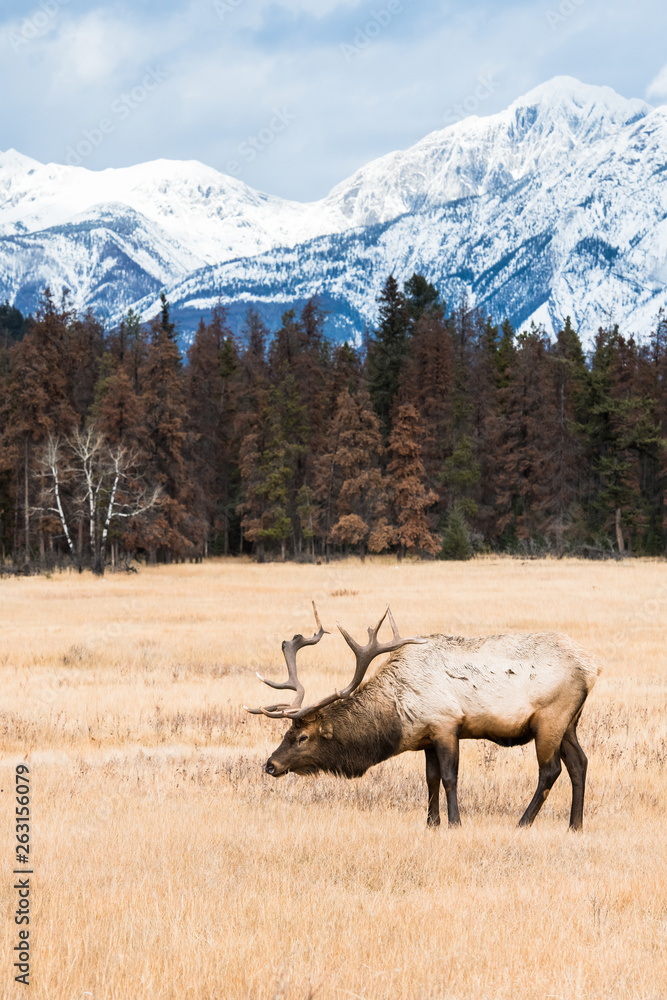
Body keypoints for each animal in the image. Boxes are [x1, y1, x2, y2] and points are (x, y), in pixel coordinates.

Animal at [245, 604, 600, 830]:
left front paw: (455, 823)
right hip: (570, 723)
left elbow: (450, 778)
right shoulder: (427, 737)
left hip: (550, 718)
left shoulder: (446, 725)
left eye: (302, 737)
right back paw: (575, 825)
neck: (397, 715)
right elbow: (430, 780)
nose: (270, 765)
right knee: (580, 763)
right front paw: (431, 823)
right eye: (286, 734)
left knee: (550, 770)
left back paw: (523, 822)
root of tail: (592, 667)